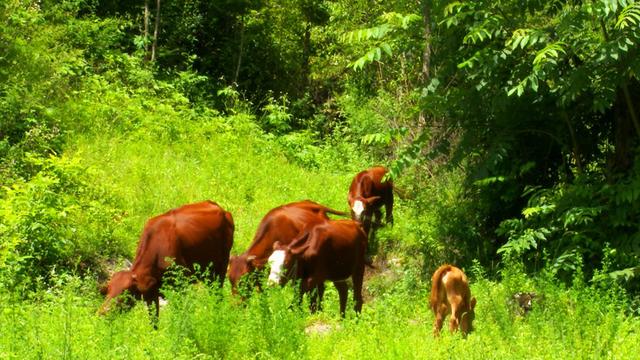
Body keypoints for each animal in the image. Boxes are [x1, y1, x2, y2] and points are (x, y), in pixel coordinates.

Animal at [101, 201, 236, 316]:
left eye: (125, 292)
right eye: (108, 290)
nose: (103, 312)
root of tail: (221, 209)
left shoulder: (181, 285)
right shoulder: (151, 293)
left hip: (222, 265)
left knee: (218, 294)